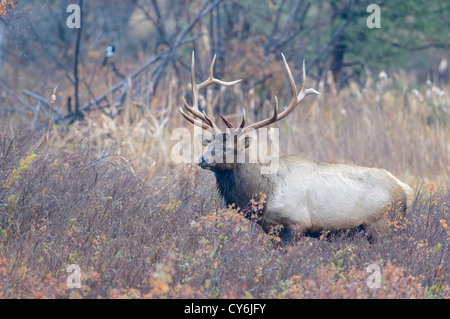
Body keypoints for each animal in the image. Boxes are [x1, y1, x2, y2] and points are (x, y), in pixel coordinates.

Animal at [179, 53, 414, 242]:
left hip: (382, 225)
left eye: (229, 148)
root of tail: (406, 191)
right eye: (211, 143)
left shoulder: (296, 224)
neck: (266, 193)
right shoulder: (271, 229)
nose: (201, 159)